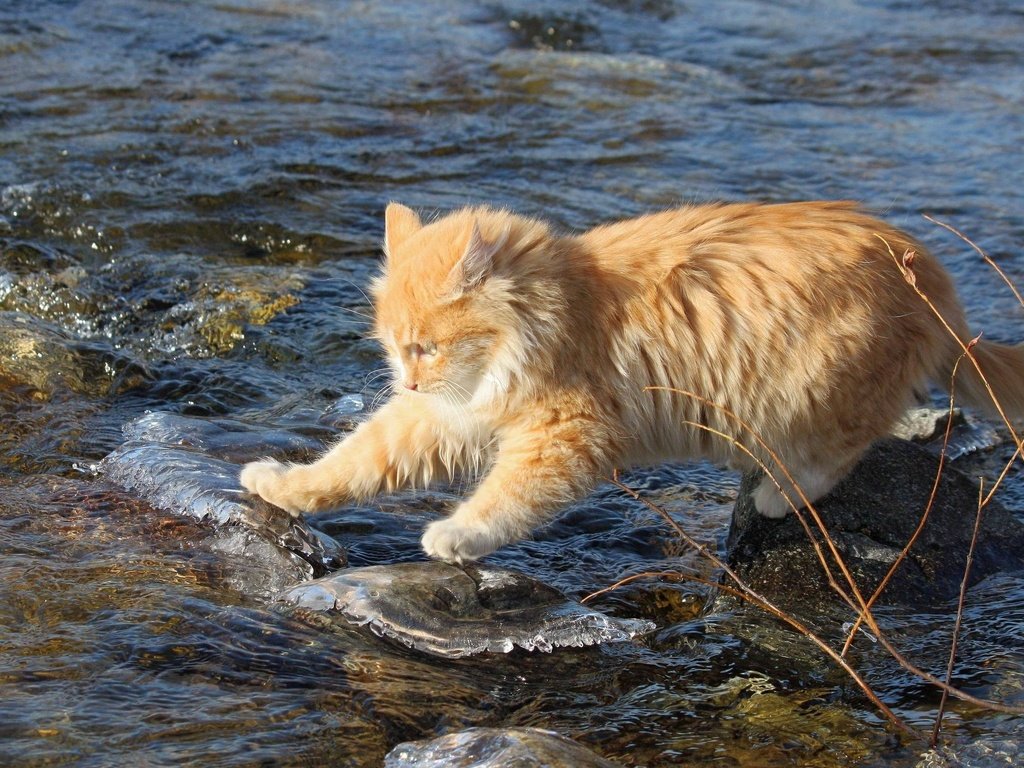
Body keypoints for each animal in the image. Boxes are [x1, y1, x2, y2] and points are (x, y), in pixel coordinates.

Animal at [241, 201, 1024, 561]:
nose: (404, 381)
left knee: (841, 452)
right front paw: (283, 485)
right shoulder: (443, 416)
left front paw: (458, 536)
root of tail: (933, 279)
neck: (560, 309)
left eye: (423, 347)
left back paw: (777, 494)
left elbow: (504, 501)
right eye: (393, 348)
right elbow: (352, 462)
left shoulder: (566, 436)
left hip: (824, 388)